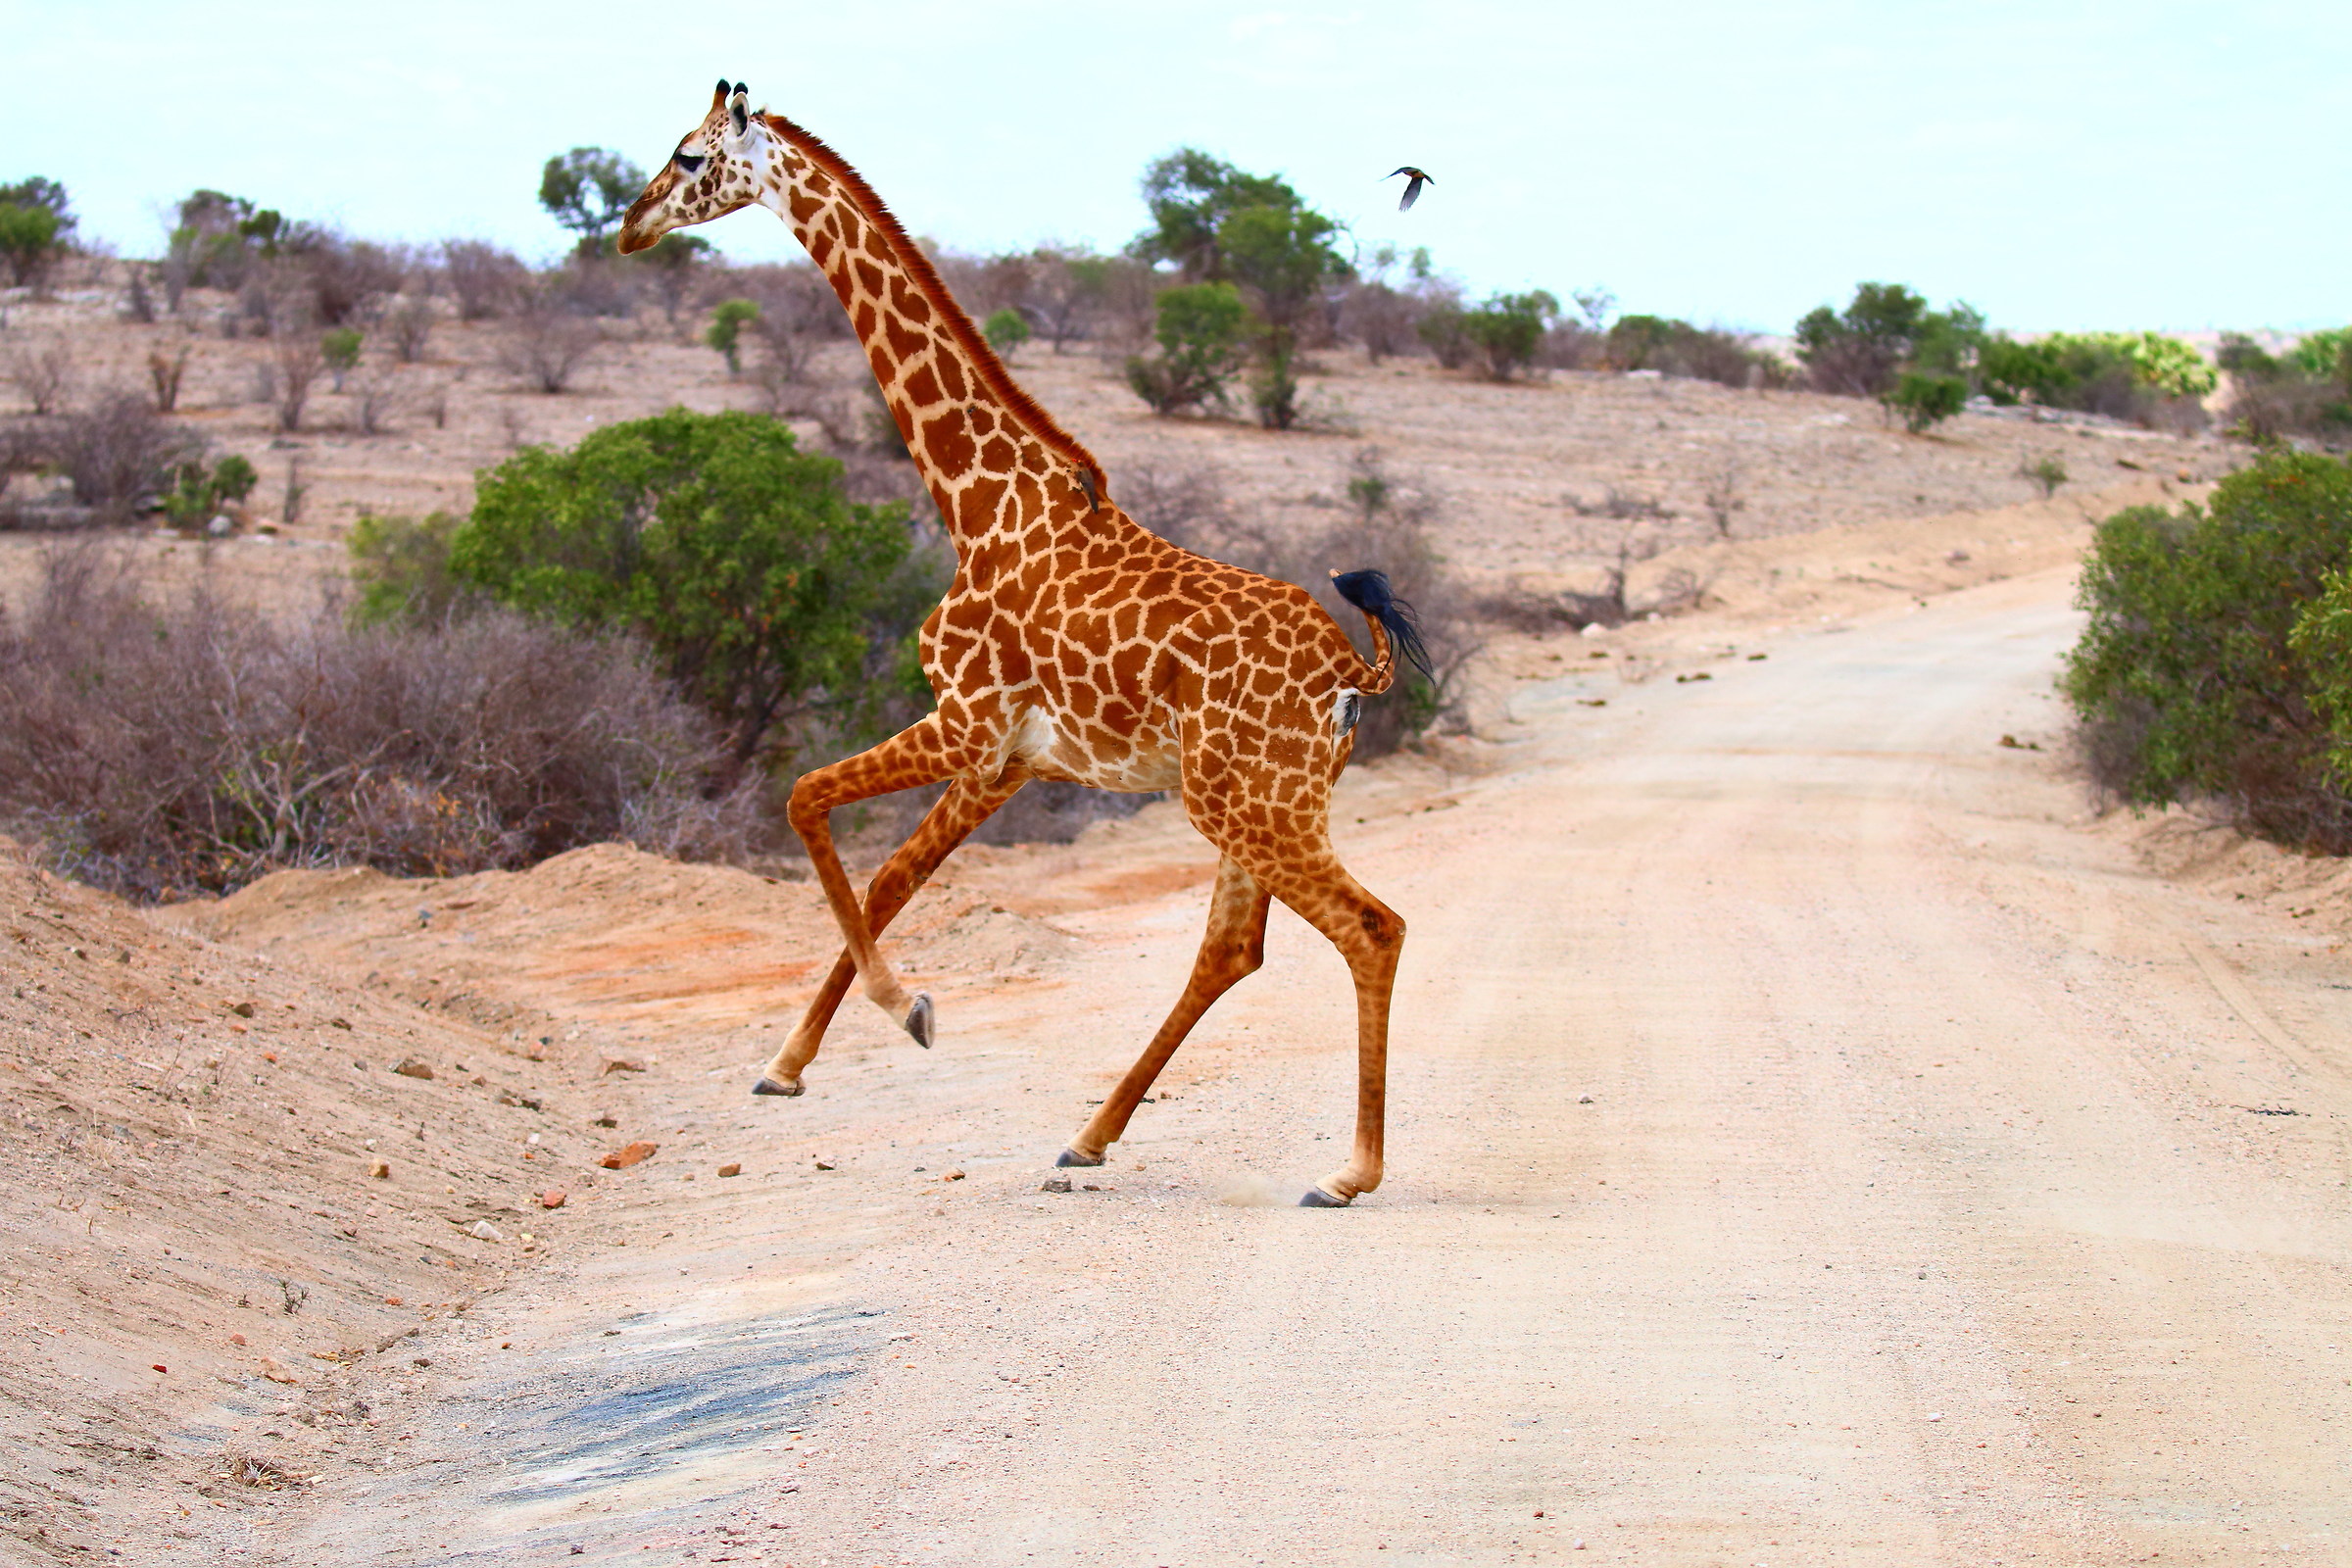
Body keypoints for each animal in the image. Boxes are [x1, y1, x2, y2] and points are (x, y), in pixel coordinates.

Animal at [618, 82, 1428, 1206]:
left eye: (690, 157)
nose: (629, 225)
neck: (976, 503)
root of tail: (1355, 676)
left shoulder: (964, 722)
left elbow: (804, 800)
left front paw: (902, 1011)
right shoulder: (1006, 758)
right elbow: (888, 877)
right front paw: (790, 1062)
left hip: (1249, 801)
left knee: (1370, 927)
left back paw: (1346, 1172)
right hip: (1254, 800)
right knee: (1232, 950)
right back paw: (1088, 1136)